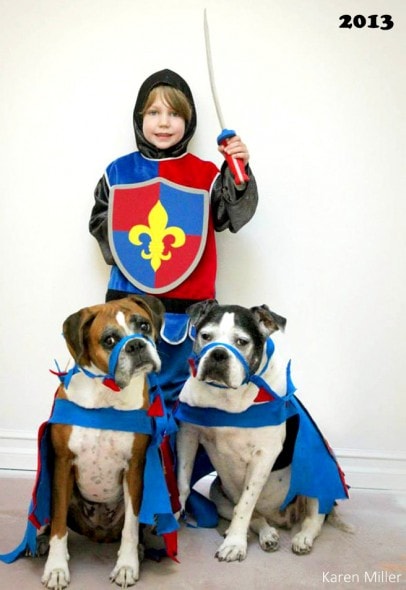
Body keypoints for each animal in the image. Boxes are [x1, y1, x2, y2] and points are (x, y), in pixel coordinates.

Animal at [42, 296, 165, 590]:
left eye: (143, 325)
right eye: (109, 340)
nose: (136, 344)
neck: (107, 395)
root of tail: (97, 534)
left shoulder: (134, 468)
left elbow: (131, 526)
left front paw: (126, 566)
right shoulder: (63, 464)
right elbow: (58, 524)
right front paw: (56, 568)